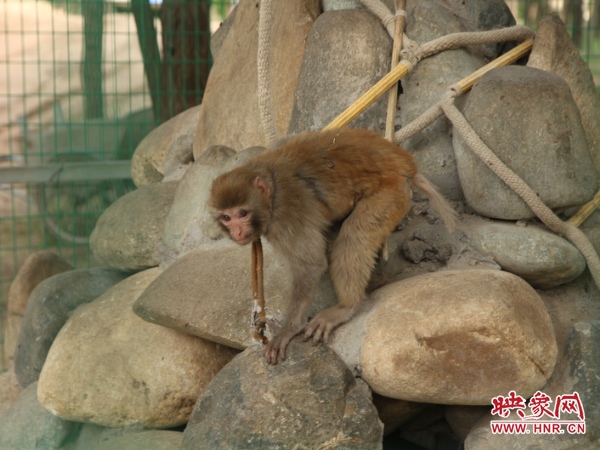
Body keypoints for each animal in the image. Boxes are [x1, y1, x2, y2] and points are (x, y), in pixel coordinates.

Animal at [209, 128, 457, 364]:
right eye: (227, 218)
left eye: (242, 213)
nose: (237, 232)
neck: (271, 189)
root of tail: (404, 163)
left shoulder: (287, 215)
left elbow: (310, 265)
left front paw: (289, 329)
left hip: (390, 196)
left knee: (353, 239)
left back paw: (347, 306)